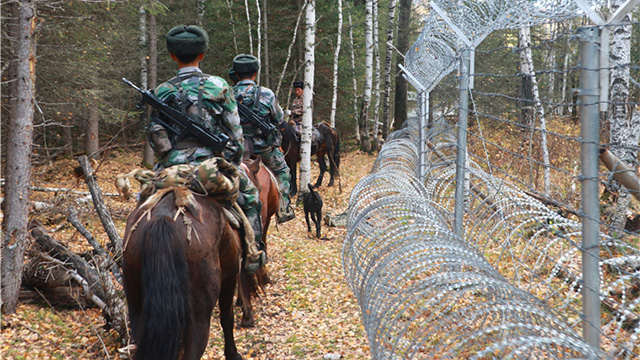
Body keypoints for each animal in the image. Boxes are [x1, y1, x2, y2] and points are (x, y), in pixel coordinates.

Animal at [122, 188, 245, 360]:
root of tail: (162, 217)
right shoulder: (231, 276)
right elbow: (227, 317)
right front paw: (233, 354)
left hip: (137, 313)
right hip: (198, 320)